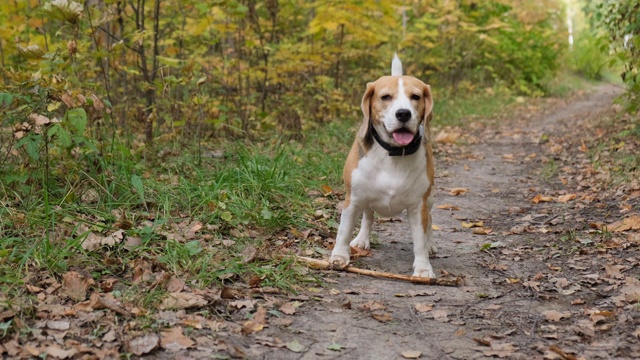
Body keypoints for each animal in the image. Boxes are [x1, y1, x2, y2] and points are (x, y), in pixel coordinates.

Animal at [328, 53, 438, 278]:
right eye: (386, 97)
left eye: (416, 97)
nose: (403, 113)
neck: (393, 152)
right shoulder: (353, 199)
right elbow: (343, 231)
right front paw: (339, 256)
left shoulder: (418, 206)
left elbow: (420, 241)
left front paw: (423, 268)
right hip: (365, 198)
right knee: (368, 217)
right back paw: (362, 239)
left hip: (429, 199)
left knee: (430, 220)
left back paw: (431, 244)